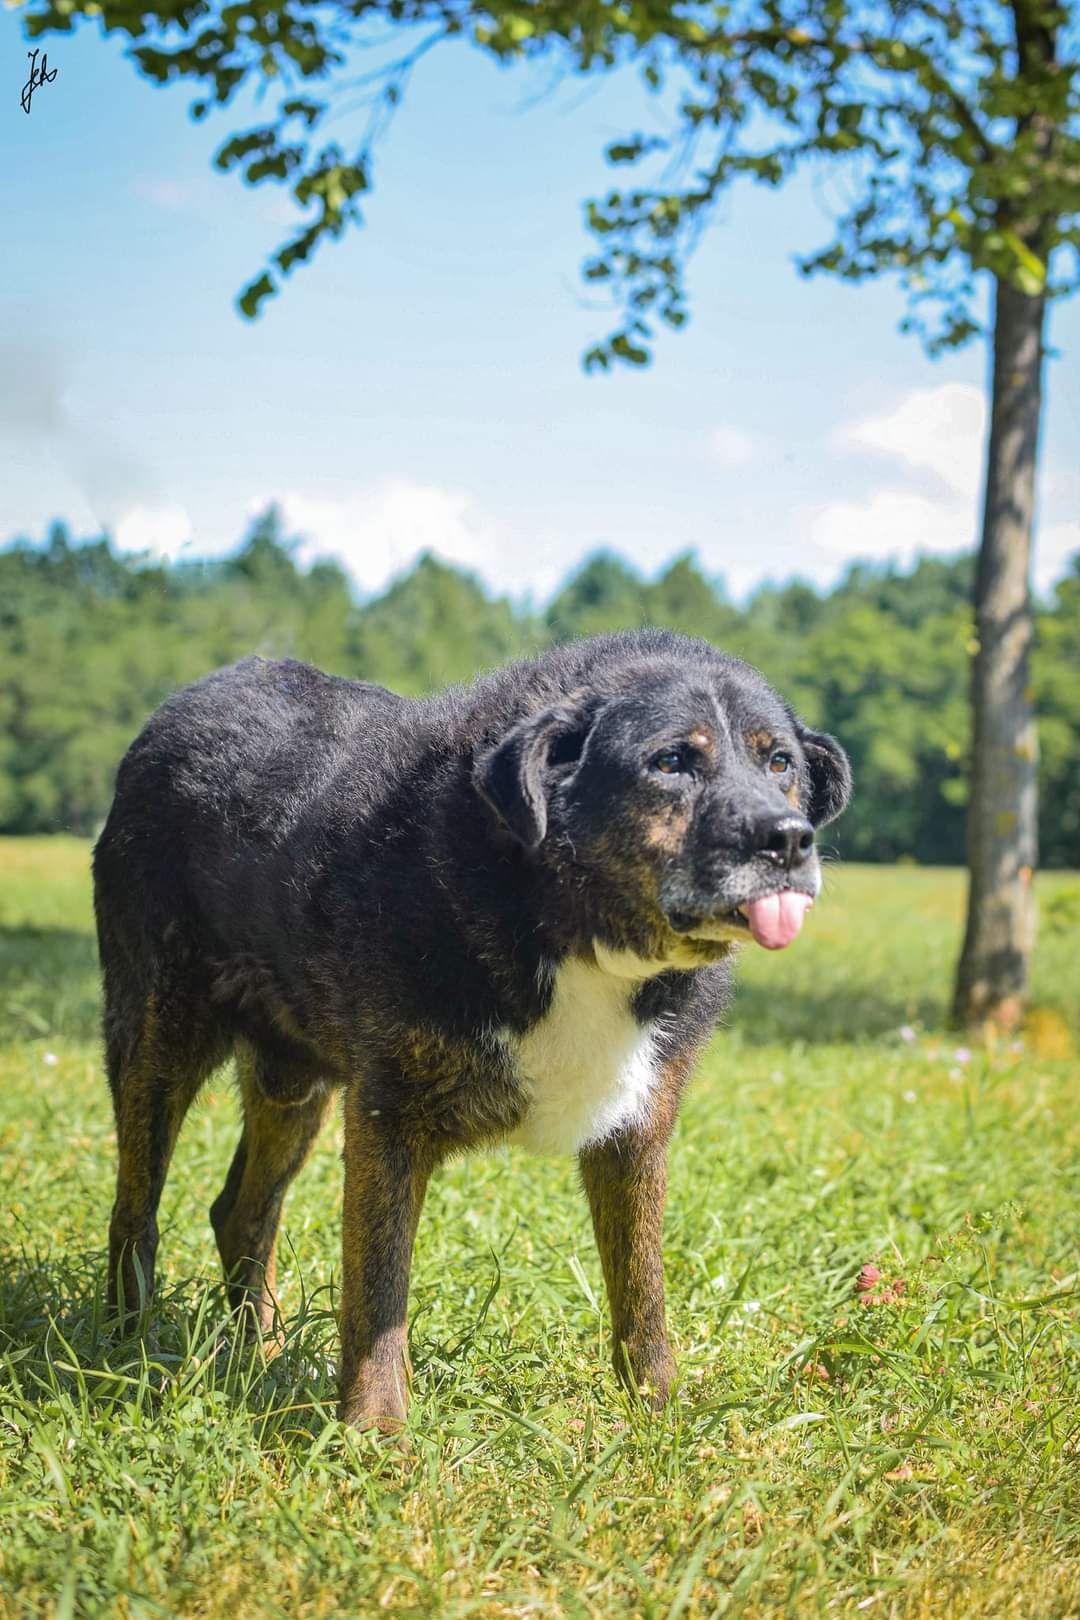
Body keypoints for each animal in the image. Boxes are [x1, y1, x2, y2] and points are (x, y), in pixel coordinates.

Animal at [95, 625, 854, 1425]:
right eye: (672, 761)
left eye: (780, 763)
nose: (790, 840)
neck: (564, 918)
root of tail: (180, 707)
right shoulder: (387, 1117)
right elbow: (377, 1296)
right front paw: (376, 1432)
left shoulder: (635, 1130)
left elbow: (641, 1293)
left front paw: (658, 1415)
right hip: (156, 1038)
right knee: (135, 1211)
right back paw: (125, 1350)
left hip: (293, 1082)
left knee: (241, 1212)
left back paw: (259, 1356)